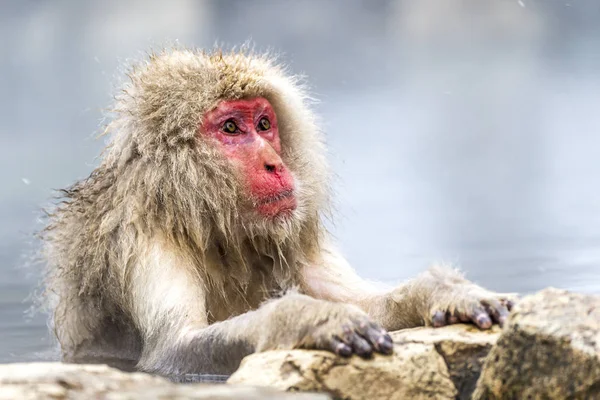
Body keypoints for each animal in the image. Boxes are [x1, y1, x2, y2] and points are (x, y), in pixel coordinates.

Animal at [42, 48, 512, 376]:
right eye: (232, 128)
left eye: (264, 124)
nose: (274, 163)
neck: (207, 222)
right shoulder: (143, 240)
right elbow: (173, 350)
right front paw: (311, 318)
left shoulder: (290, 232)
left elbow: (365, 301)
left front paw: (442, 291)